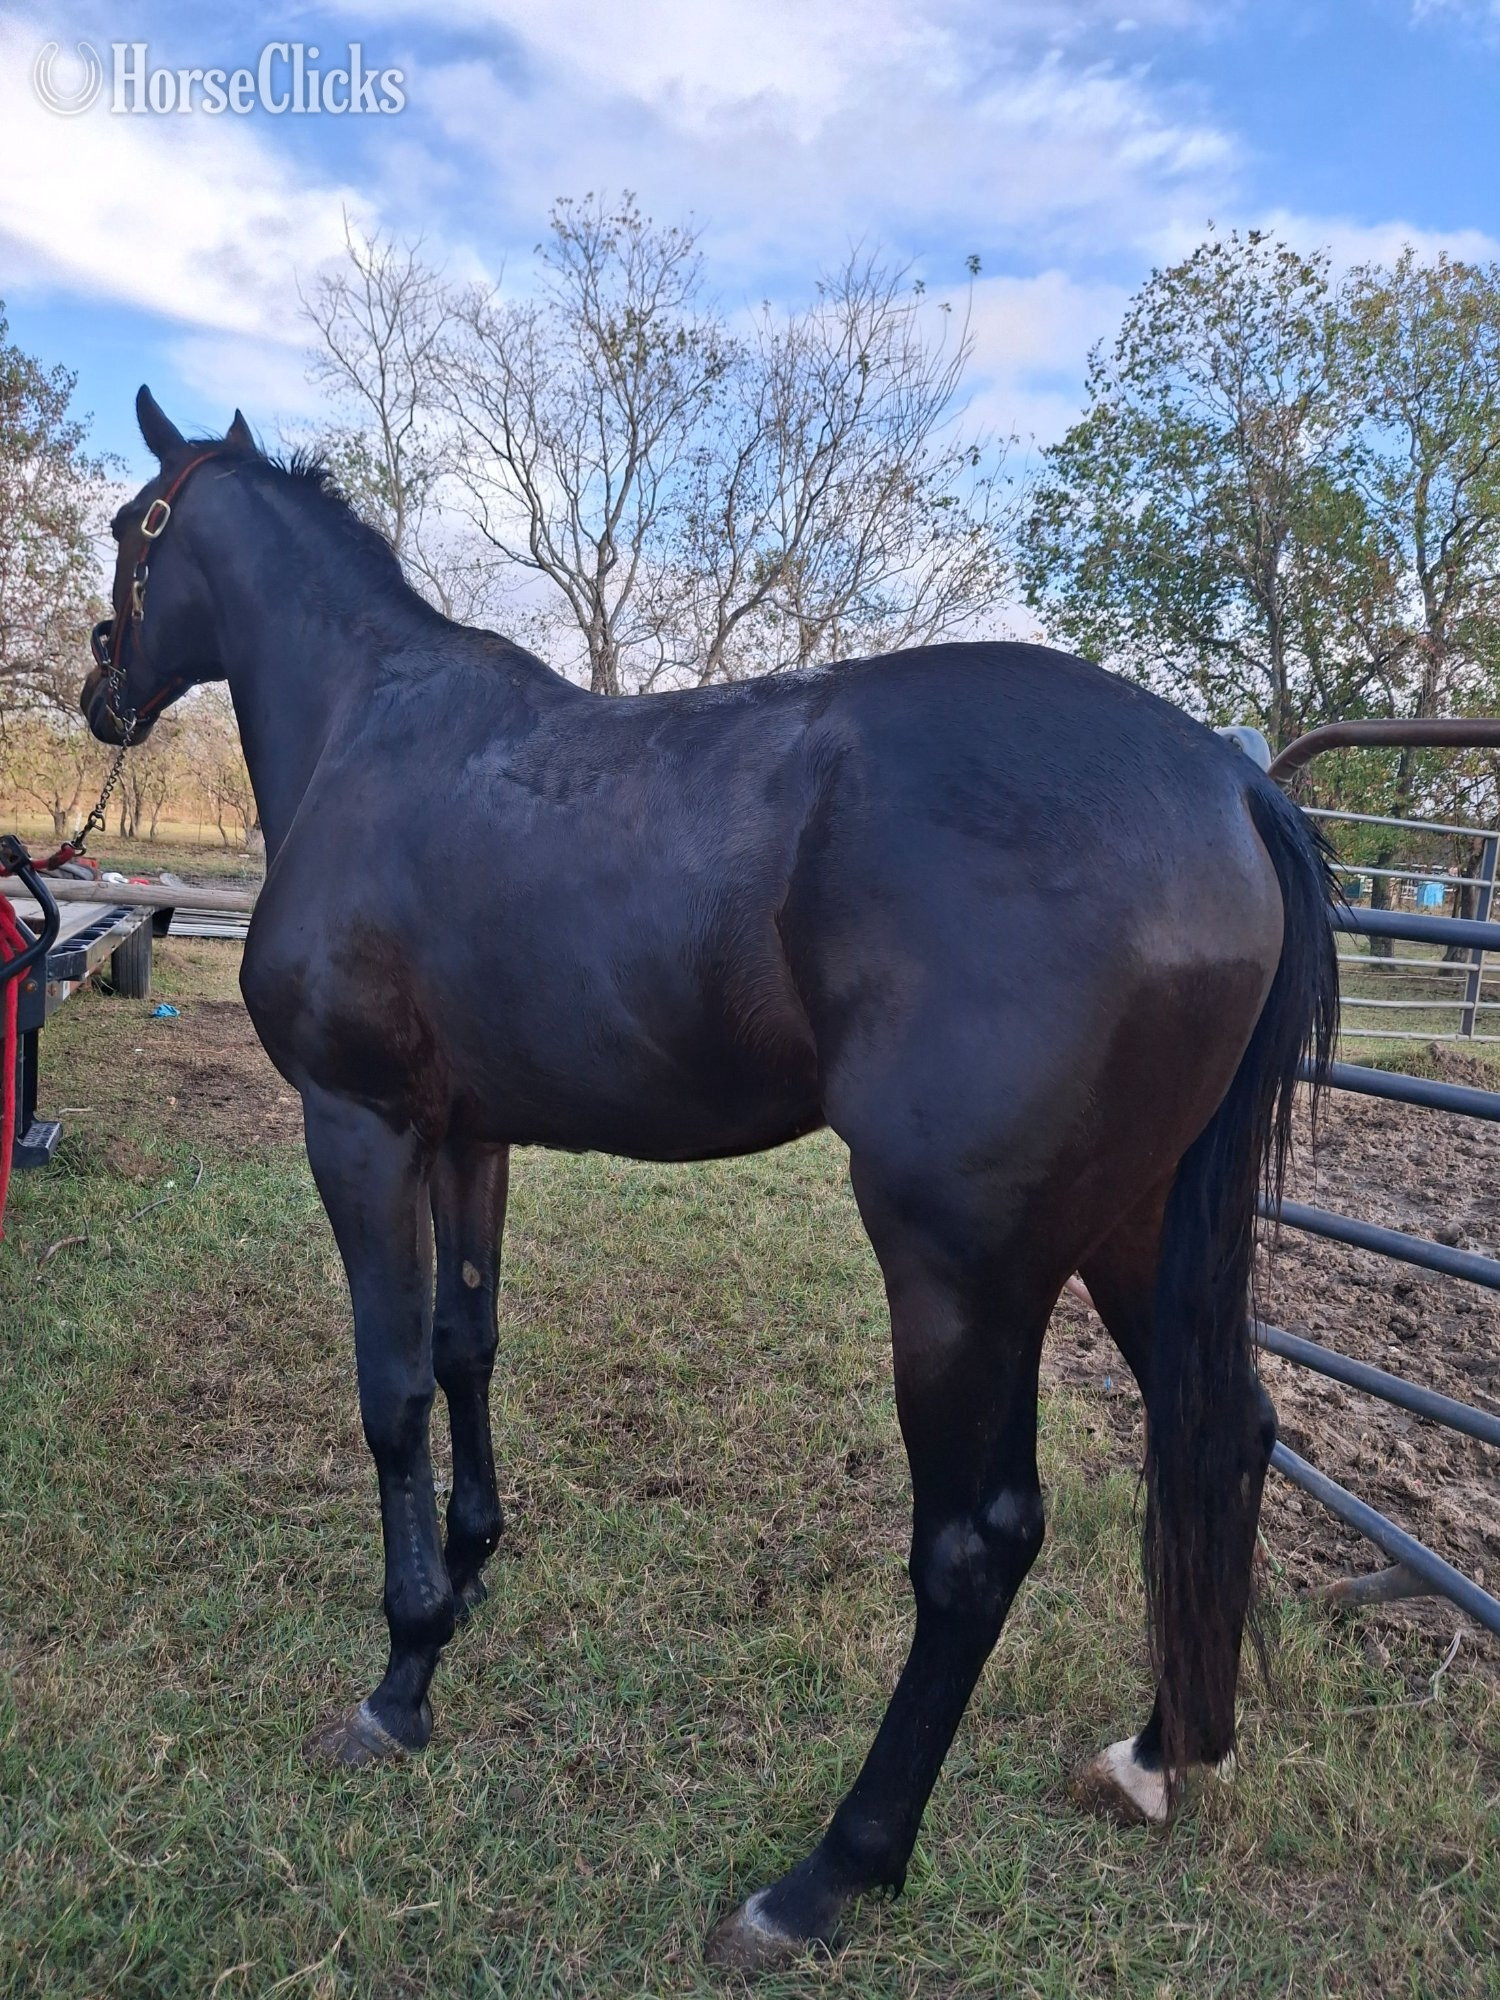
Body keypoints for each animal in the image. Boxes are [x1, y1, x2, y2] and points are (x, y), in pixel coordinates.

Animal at [82, 388, 1336, 1972]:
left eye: (130, 530)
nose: (101, 689)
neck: (374, 728)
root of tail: (1229, 780)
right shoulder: (468, 1134)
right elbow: (468, 1346)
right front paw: (474, 1570)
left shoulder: (358, 1125)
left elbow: (392, 1391)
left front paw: (402, 1671)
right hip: (1138, 1224)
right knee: (1223, 1429)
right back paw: (1168, 1750)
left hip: (961, 1267)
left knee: (975, 1546)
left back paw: (826, 1877)